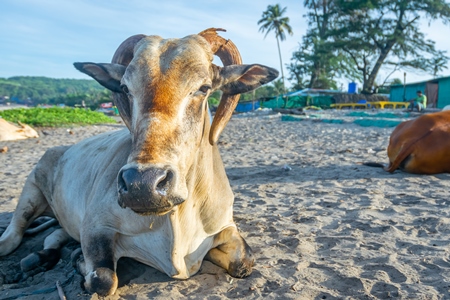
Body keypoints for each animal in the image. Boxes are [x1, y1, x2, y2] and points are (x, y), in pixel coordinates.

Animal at [0, 28, 278, 296]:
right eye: (125, 88)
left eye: (204, 87)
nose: (141, 185)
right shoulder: (95, 226)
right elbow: (103, 280)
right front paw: (81, 263)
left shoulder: (224, 225)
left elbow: (244, 262)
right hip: (31, 189)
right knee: (13, 237)